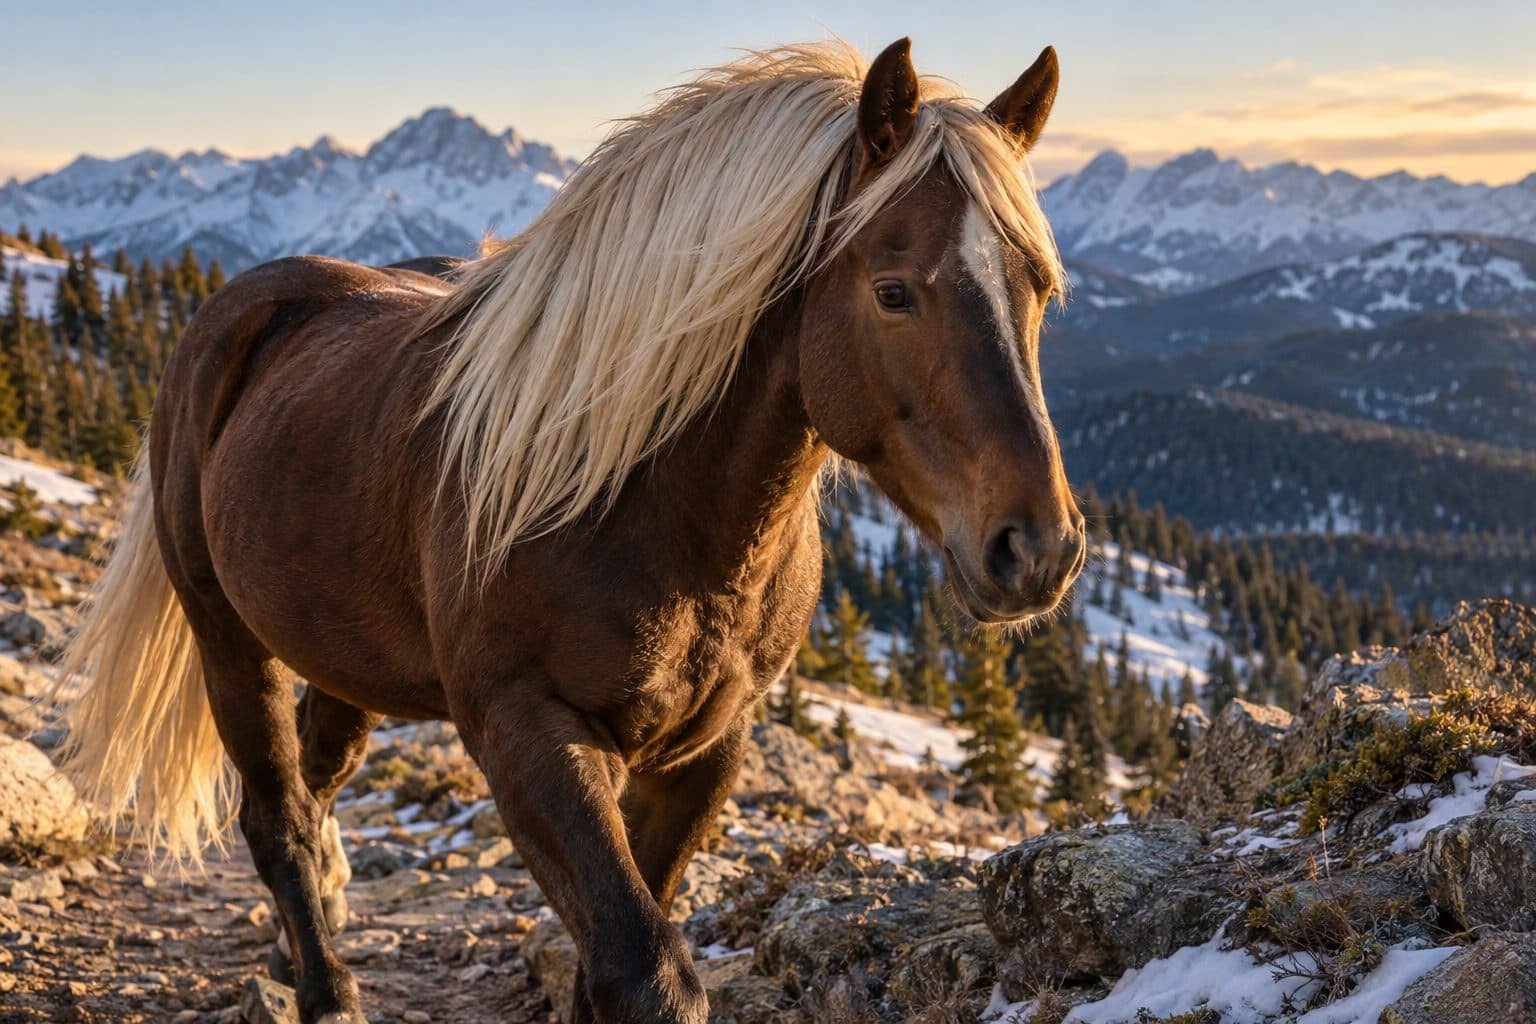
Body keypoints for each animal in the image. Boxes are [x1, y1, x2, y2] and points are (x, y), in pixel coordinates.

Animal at [55, 38, 1085, 1024]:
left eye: (1038, 289)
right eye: (894, 291)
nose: (1038, 549)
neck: (653, 510)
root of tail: (238, 308)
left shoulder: (703, 753)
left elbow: (611, 965)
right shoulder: (526, 731)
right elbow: (644, 974)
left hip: (343, 653)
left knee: (317, 780)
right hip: (228, 637)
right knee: (276, 816)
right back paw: (325, 989)